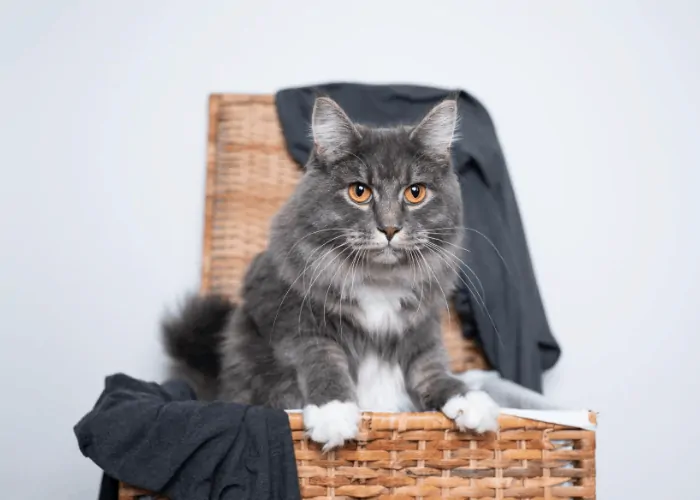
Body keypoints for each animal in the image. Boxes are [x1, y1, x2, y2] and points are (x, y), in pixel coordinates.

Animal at [163, 96, 504, 450]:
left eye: (415, 192)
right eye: (359, 191)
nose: (390, 228)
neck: (378, 280)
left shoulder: (420, 328)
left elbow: (431, 369)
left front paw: (468, 399)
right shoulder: (294, 322)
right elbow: (324, 360)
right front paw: (333, 413)